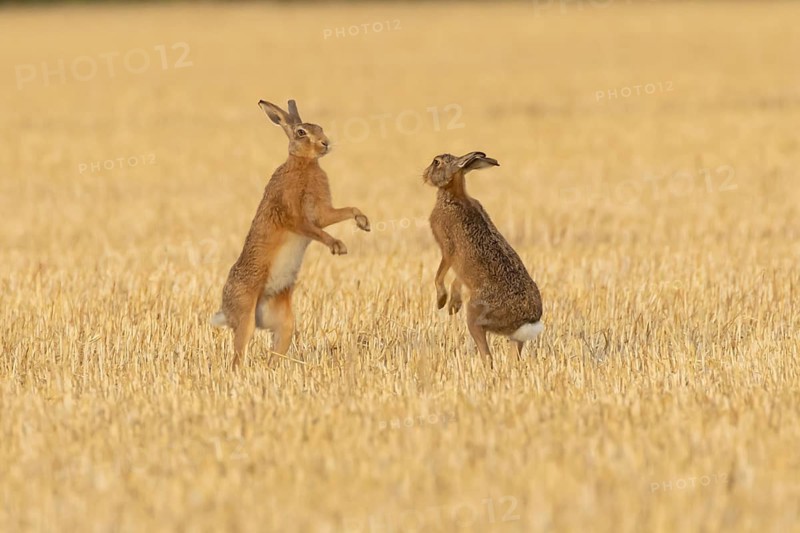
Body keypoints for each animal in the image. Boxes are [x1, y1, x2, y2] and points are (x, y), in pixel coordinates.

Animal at [211, 99, 370, 367]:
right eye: (301, 132)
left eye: (320, 127)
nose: (325, 143)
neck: (304, 163)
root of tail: (226, 310)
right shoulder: (294, 215)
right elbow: (314, 230)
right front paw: (337, 246)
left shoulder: (322, 212)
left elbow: (343, 212)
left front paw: (364, 222)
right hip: (245, 316)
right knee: (238, 356)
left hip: (285, 323)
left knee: (275, 351)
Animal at [423, 151, 542, 366]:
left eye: (436, 162)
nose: (425, 175)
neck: (453, 196)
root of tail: (526, 321)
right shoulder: (460, 267)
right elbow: (457, 280)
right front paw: (453, 305)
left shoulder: (447, 249)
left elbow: (440, 274)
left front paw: (442, 301)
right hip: (514, 339)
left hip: (475, 317)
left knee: (487, 356)